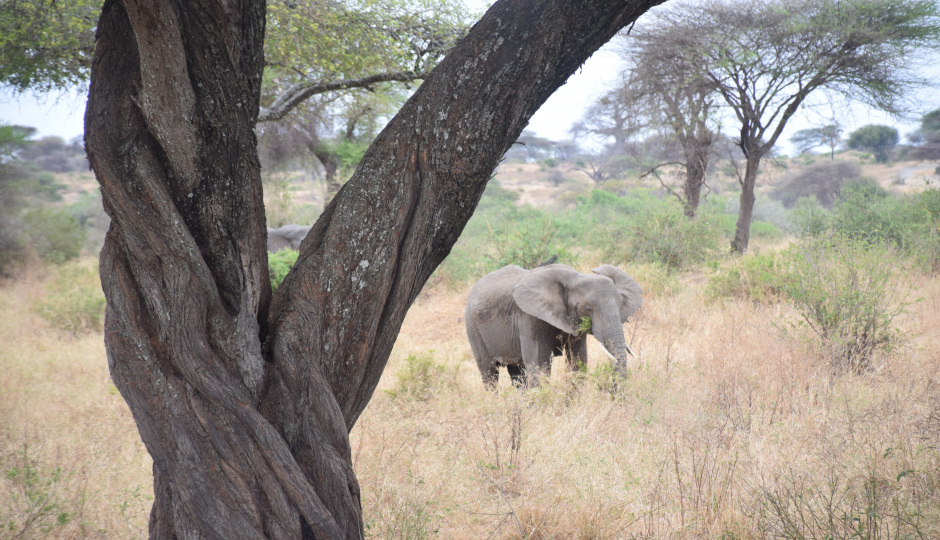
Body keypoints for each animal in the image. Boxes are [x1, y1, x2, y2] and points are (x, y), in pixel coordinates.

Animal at [466, 262, 644, 386]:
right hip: (473, 327)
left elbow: (578, 360)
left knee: (517, 374)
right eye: (588, 309)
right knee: (489, 373)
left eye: (620, 304)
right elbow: (539, 363)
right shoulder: (529, 316)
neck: (575, 277)